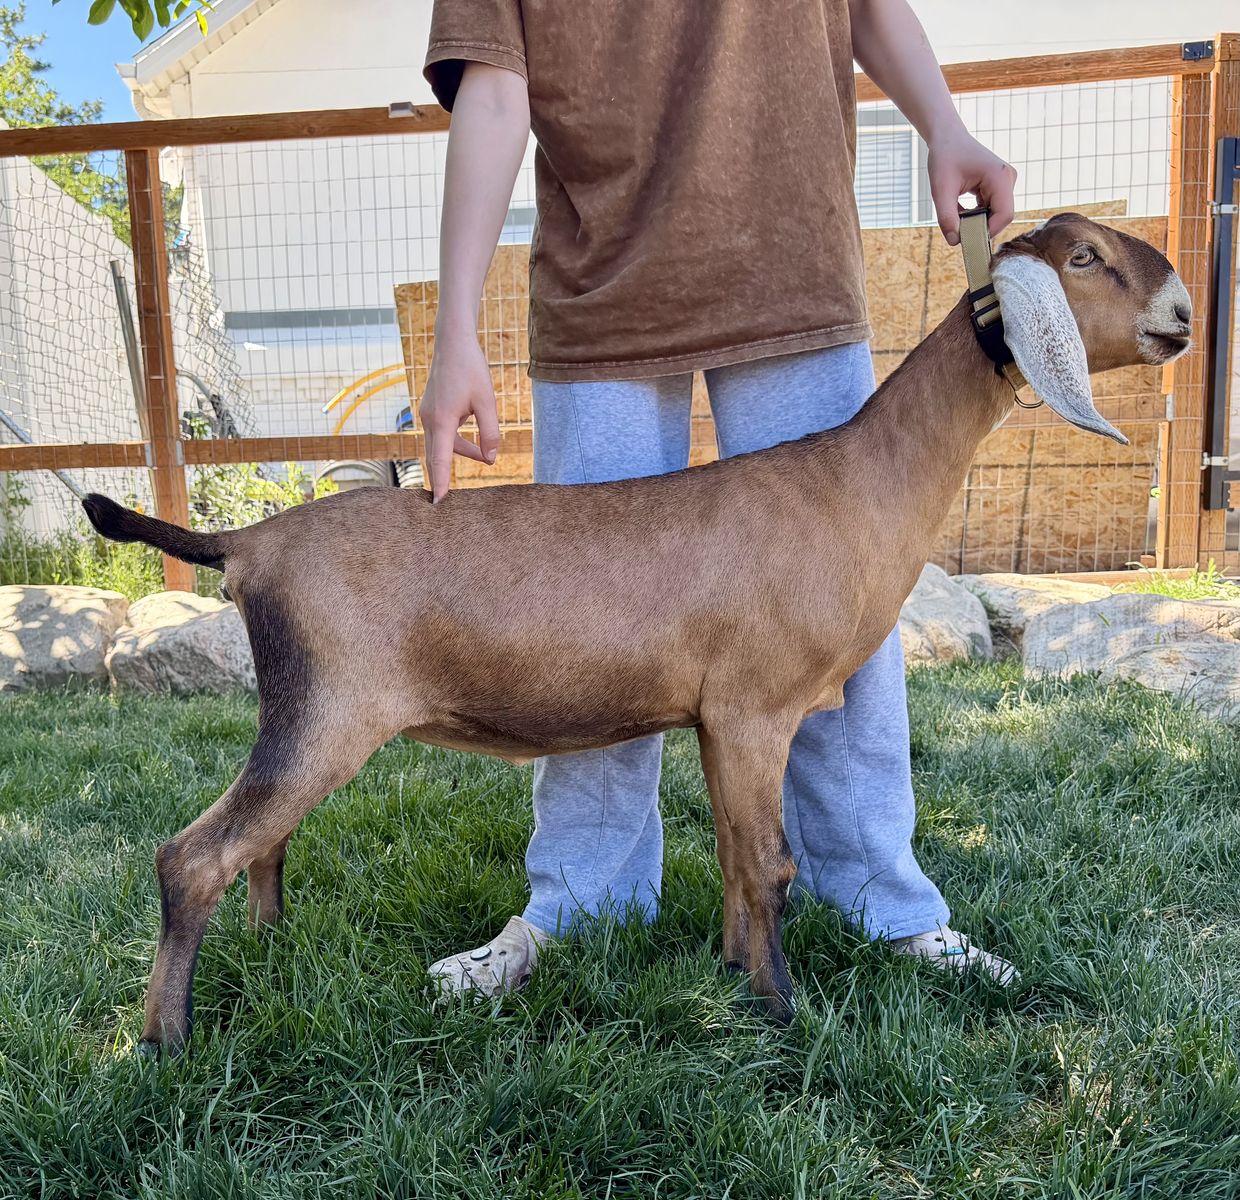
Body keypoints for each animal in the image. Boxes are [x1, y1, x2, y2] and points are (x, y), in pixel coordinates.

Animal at [84, 214, 1191, 1053]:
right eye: (1085, 255)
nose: (1181, 315)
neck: (850, 484)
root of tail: (246, 541)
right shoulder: (754, 707)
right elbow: (770, 865)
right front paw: (783, 1015)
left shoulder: (718, 719)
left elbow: (745, 862)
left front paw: (736, 981)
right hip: (327, 709)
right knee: (190, 856)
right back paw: (165, 1040)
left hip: (307, 717)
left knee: (260, 844)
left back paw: (274, 955)